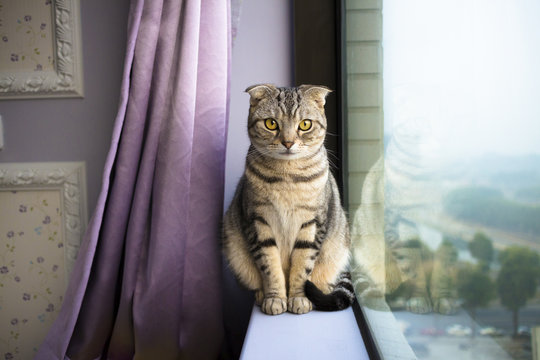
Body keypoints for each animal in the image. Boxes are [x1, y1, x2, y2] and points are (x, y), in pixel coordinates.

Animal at [223, 84, 354, 316]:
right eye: (271, 123)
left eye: (305, 124)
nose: (288, 142)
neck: (288, 177)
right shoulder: (258, 222)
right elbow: (270, 266)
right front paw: (275, 298)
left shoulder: (312, 224)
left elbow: (302, 267)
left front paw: (298, 298)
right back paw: (261, 295)